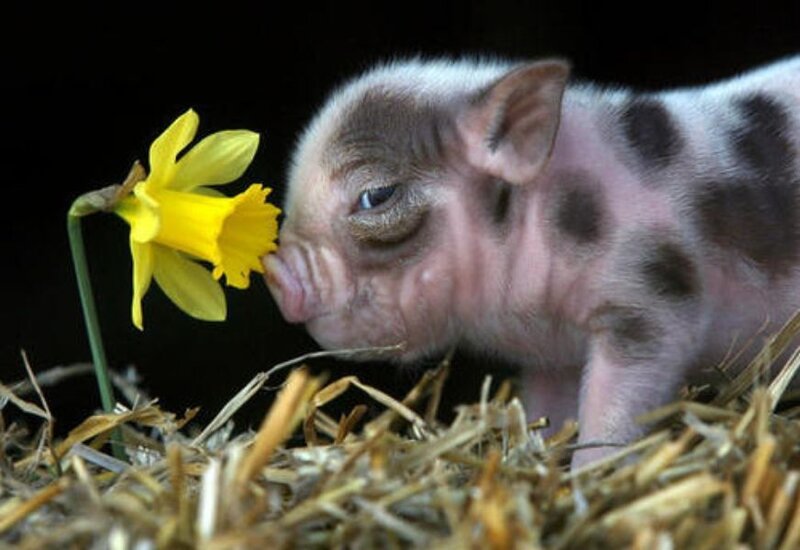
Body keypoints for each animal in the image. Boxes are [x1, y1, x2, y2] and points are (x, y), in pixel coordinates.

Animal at [264, 55, 800, 466]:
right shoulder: (554, 356)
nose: (275, 272)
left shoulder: (652, 302)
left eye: (376, 195)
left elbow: (614, 415)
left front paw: (589, 478)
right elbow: (549, 412)